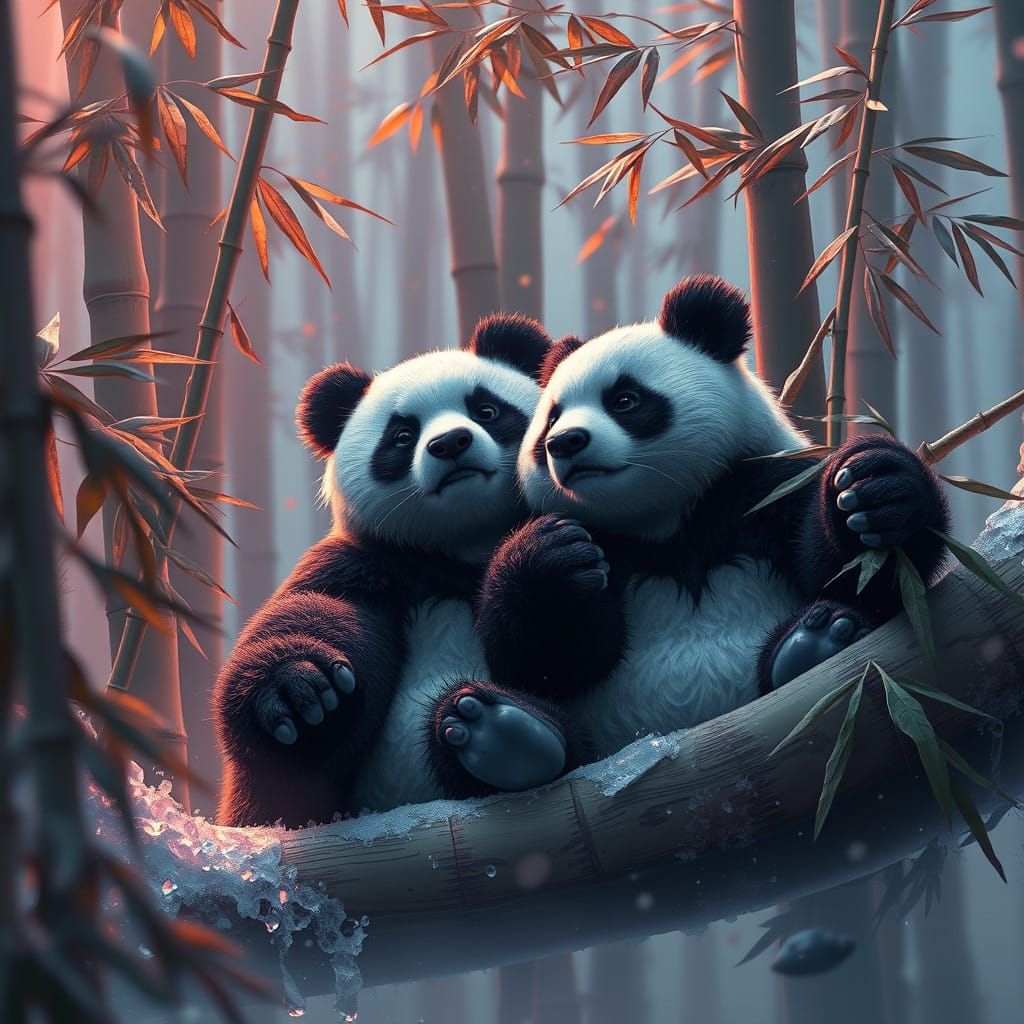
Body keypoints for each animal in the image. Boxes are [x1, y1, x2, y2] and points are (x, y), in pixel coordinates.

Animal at [214, 317, 587, 828]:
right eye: (402, 436)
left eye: (487, 410)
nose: (450, 443)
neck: (459, 549)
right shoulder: (369, 563)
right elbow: (315, 611)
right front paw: (300, 691)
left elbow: (558, 661)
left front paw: (546, 565)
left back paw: (505, 732)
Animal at [439, 275, 949, 768]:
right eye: (551, 418)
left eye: (624, 399)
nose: (564, 443)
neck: (666, 521)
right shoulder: (610, 546)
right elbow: (542, 662)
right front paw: (552, 558)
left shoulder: (761, 488)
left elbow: (860, 580)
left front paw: (878, 488)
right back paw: (498, 731)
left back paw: (817, 640)